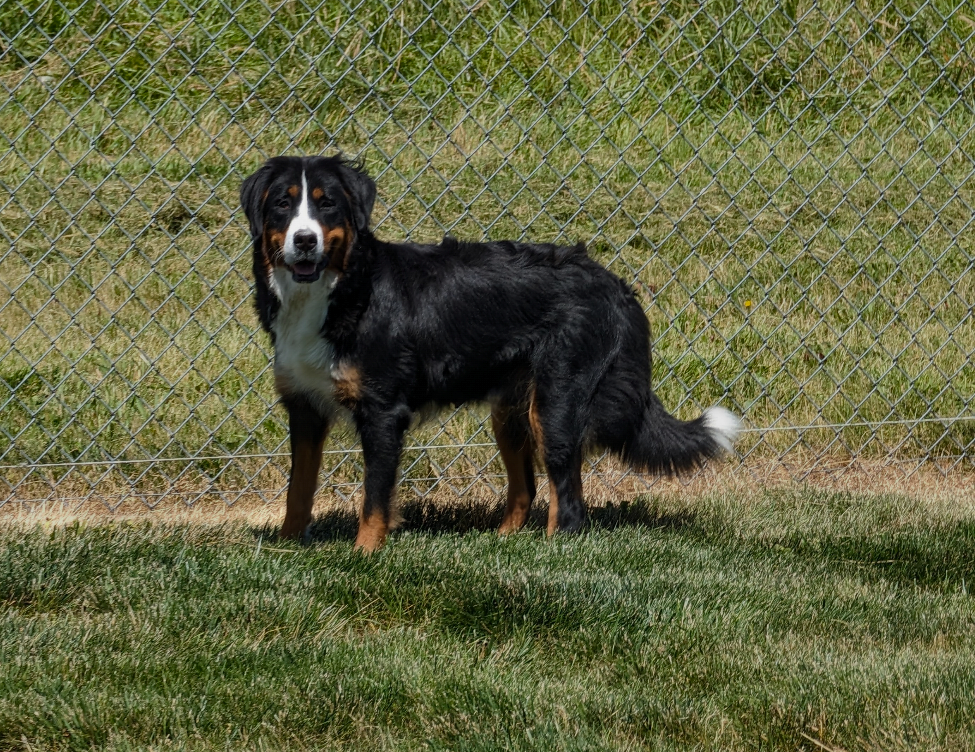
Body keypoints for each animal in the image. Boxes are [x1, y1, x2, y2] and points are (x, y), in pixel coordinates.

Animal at [242, 154, 740, 552]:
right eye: (283, 204)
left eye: (326, 204)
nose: (305, 240)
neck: (339, 291)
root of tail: (614, 283)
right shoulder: (304, 407)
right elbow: (298, 489)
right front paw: (285, 550)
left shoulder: (382, 412)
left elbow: (375, 499)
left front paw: (363, 555)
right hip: (511, 410)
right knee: (527, 490)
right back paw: (500, 545)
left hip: (556, 403)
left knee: (569, 498)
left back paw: (552, 553)